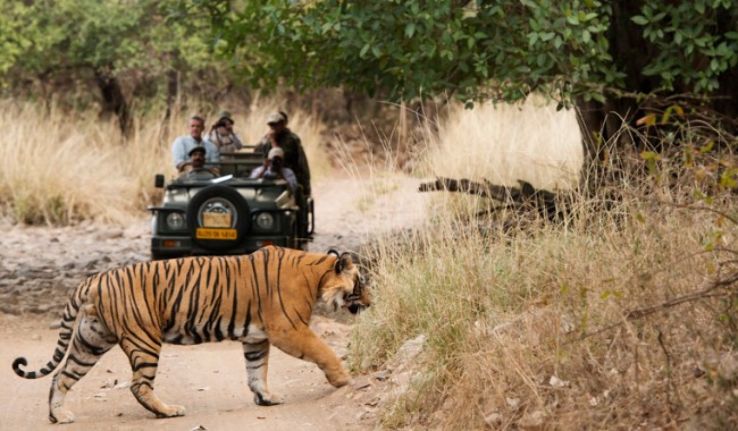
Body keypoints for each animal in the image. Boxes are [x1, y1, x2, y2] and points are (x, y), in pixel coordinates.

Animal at [11, 246, 368, 426]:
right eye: (360, 283)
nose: (370, 301)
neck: (317, 274)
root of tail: (92, 280)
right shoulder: (289, 329)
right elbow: (323, 350)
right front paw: (343, 379)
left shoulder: (256, 338)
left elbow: (256, 371)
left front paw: (266, 398)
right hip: (143, 339)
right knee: (138, 385)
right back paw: (167, 411)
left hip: (91, 341)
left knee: (60, 377)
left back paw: (59, 416)